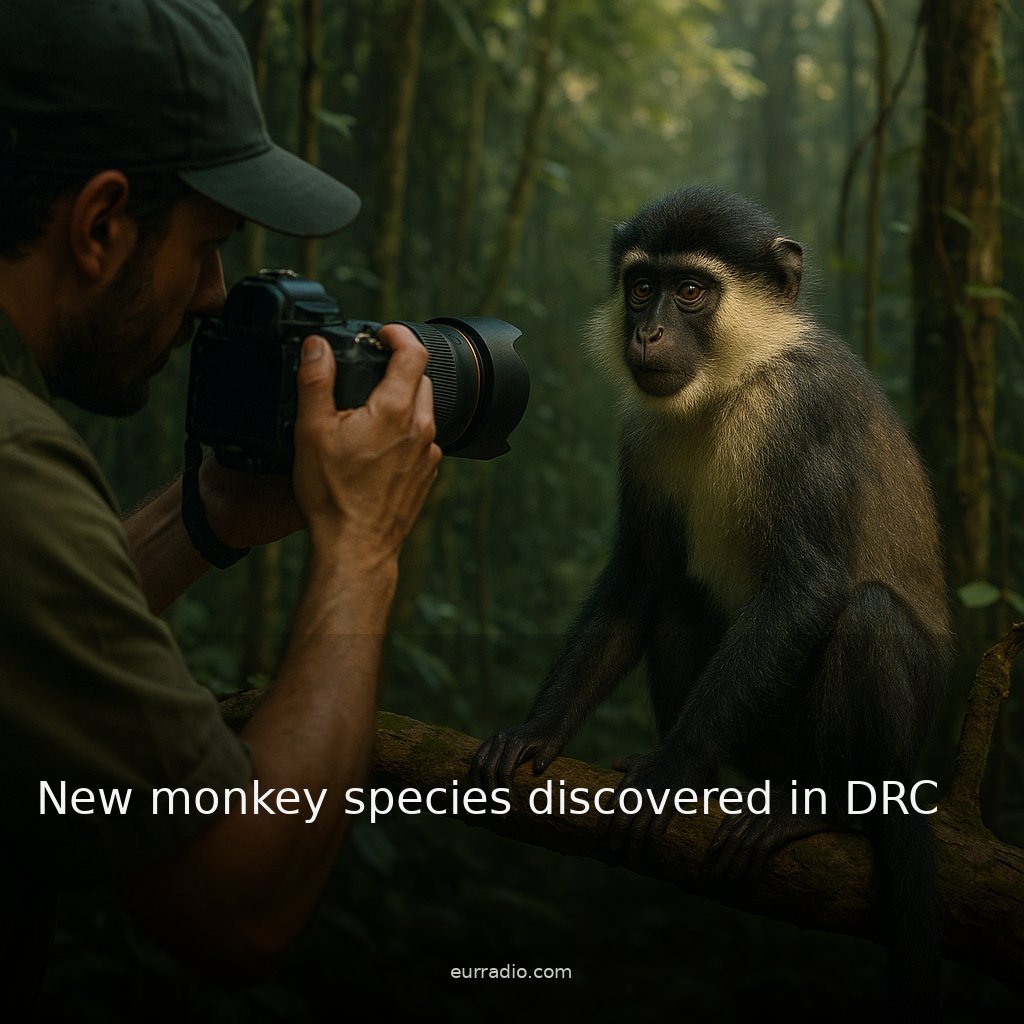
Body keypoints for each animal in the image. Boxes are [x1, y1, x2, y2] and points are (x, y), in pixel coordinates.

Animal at [471, 185, 951, 1011]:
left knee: (869, 618)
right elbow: (640, 582)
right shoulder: (639, 431)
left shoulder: (801, 412)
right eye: (641, 287)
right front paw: (539, 730)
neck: (734, 383)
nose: (649, 331)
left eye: (691, 290)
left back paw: (829, 813)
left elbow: (809, 586)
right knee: (681, 602)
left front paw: (673, 770)